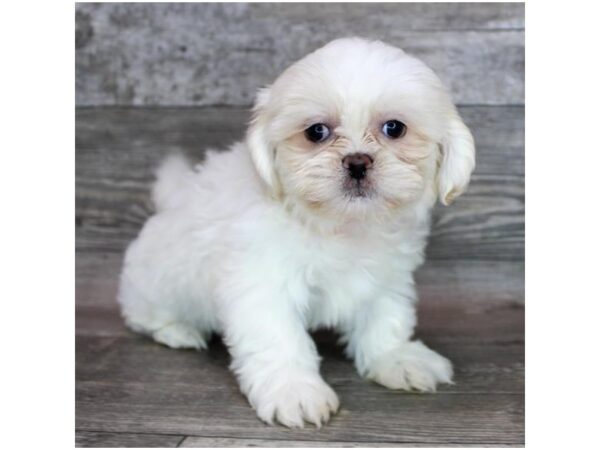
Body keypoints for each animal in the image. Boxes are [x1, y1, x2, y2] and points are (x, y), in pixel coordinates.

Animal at [116, 37, 474, 428]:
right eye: (316, 132)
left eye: (394, 128)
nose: (357, 162)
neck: (339, 224)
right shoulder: (262, 283)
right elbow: (279, 338)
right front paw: (294, 390)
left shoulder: (386, 275)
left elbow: (386, 316)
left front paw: (396, 358)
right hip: (156, 285)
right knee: (146, 316)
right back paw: (178, 331)